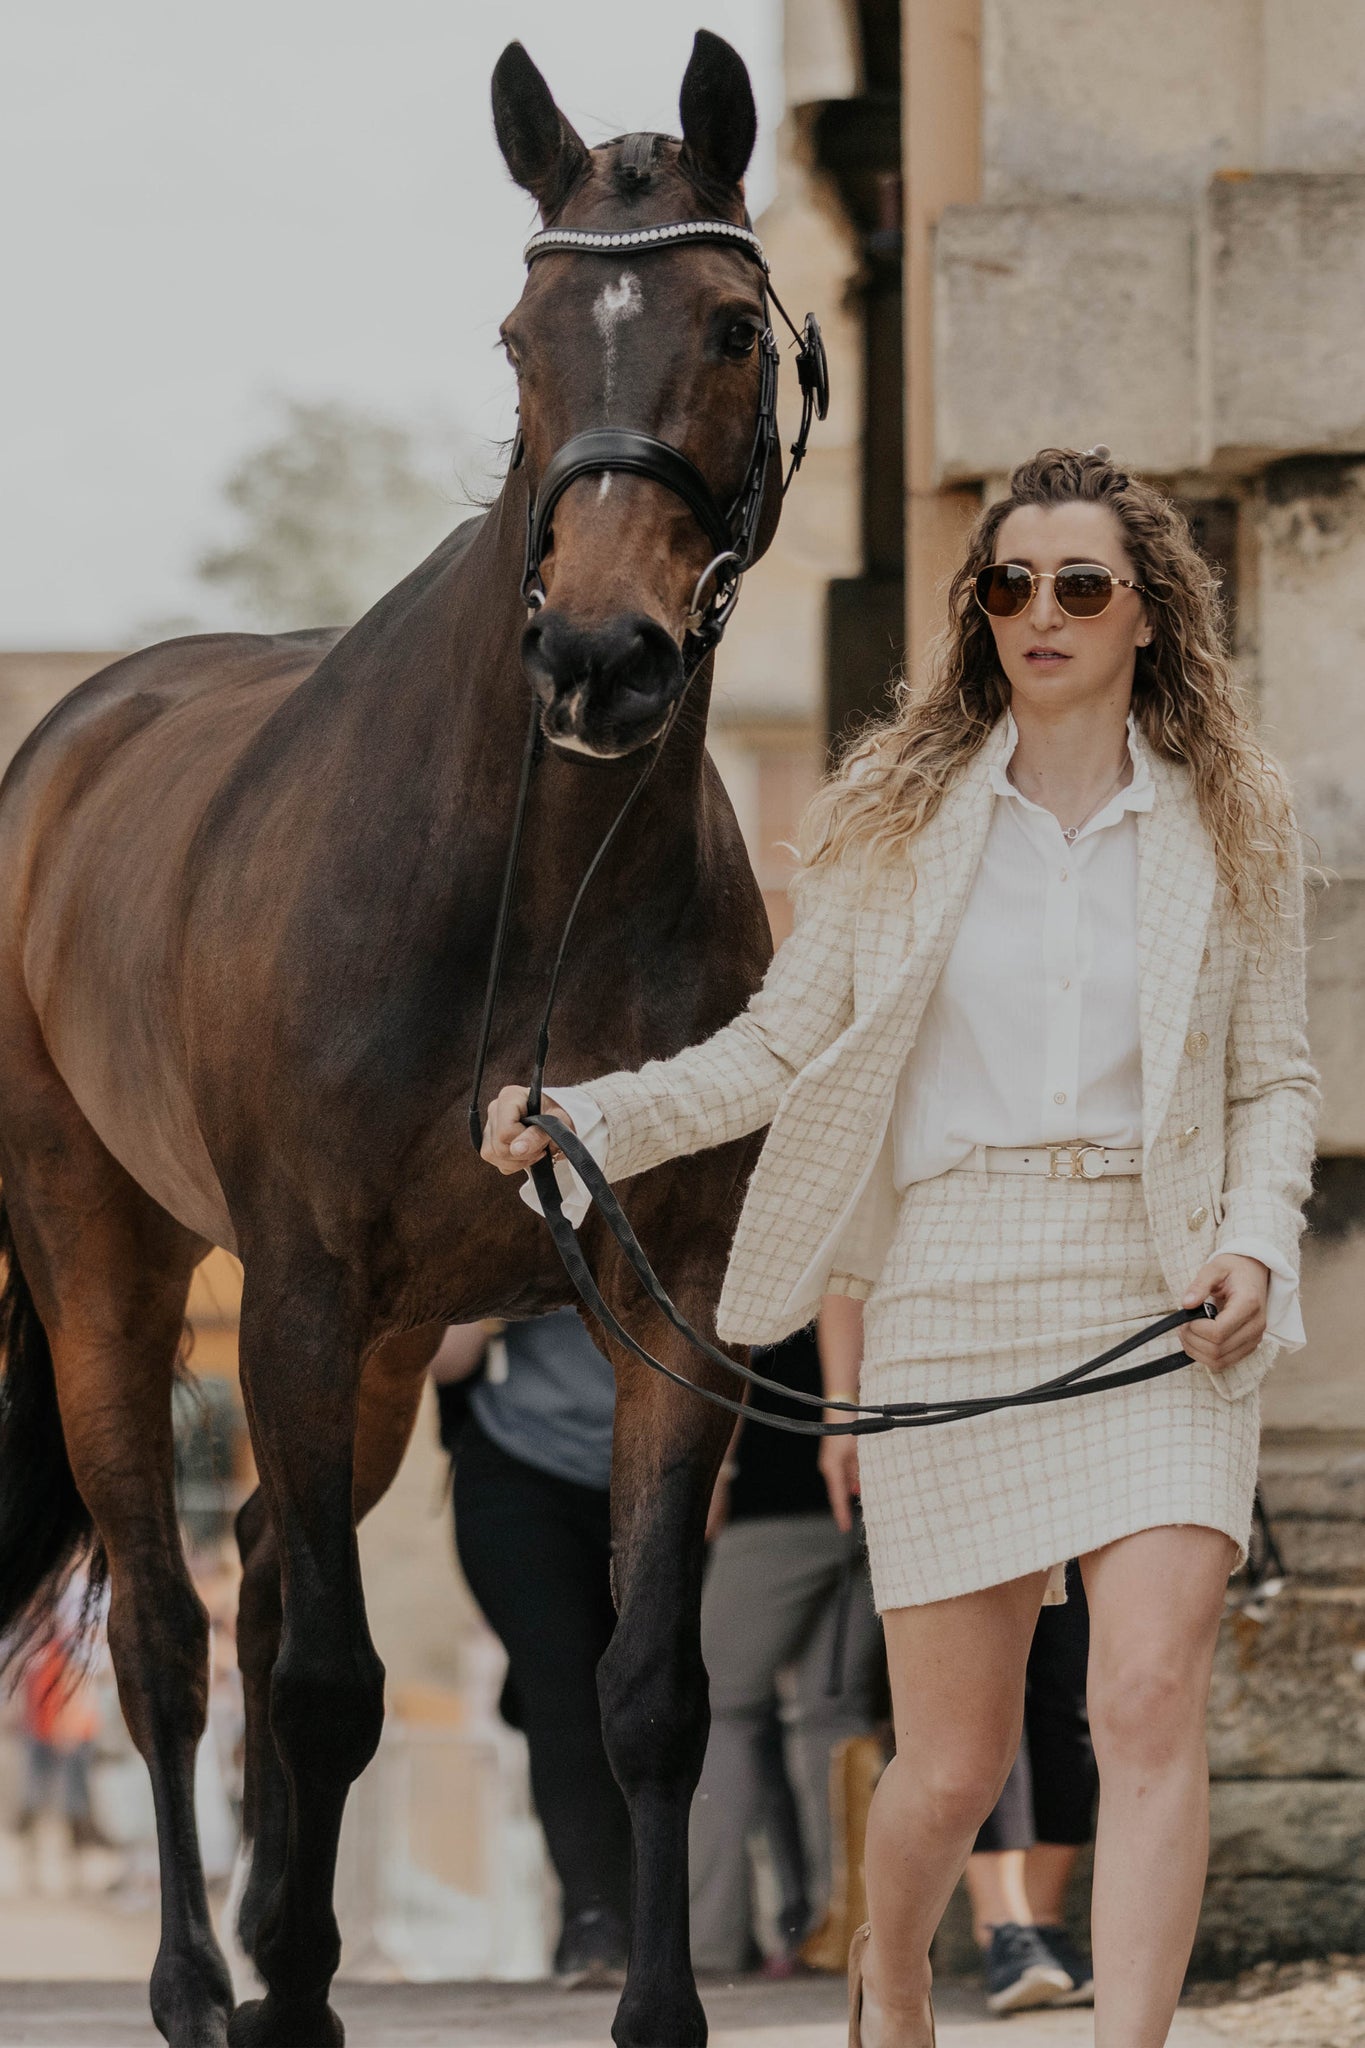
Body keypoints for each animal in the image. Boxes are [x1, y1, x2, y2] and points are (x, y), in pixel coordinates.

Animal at [0, 36, 802, 2048]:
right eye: (519, 336)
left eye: (730, 323)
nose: (600, 657)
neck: (533, 881)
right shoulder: (292, 1283)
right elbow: (326, 1685)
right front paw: (286, 1994)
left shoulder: (667, 1285)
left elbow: (646, 1683)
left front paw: (657, 2012)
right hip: (116, 1269)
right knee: (171, 1632)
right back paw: (206, 1979)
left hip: (369, 1356)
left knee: (267, 1583)